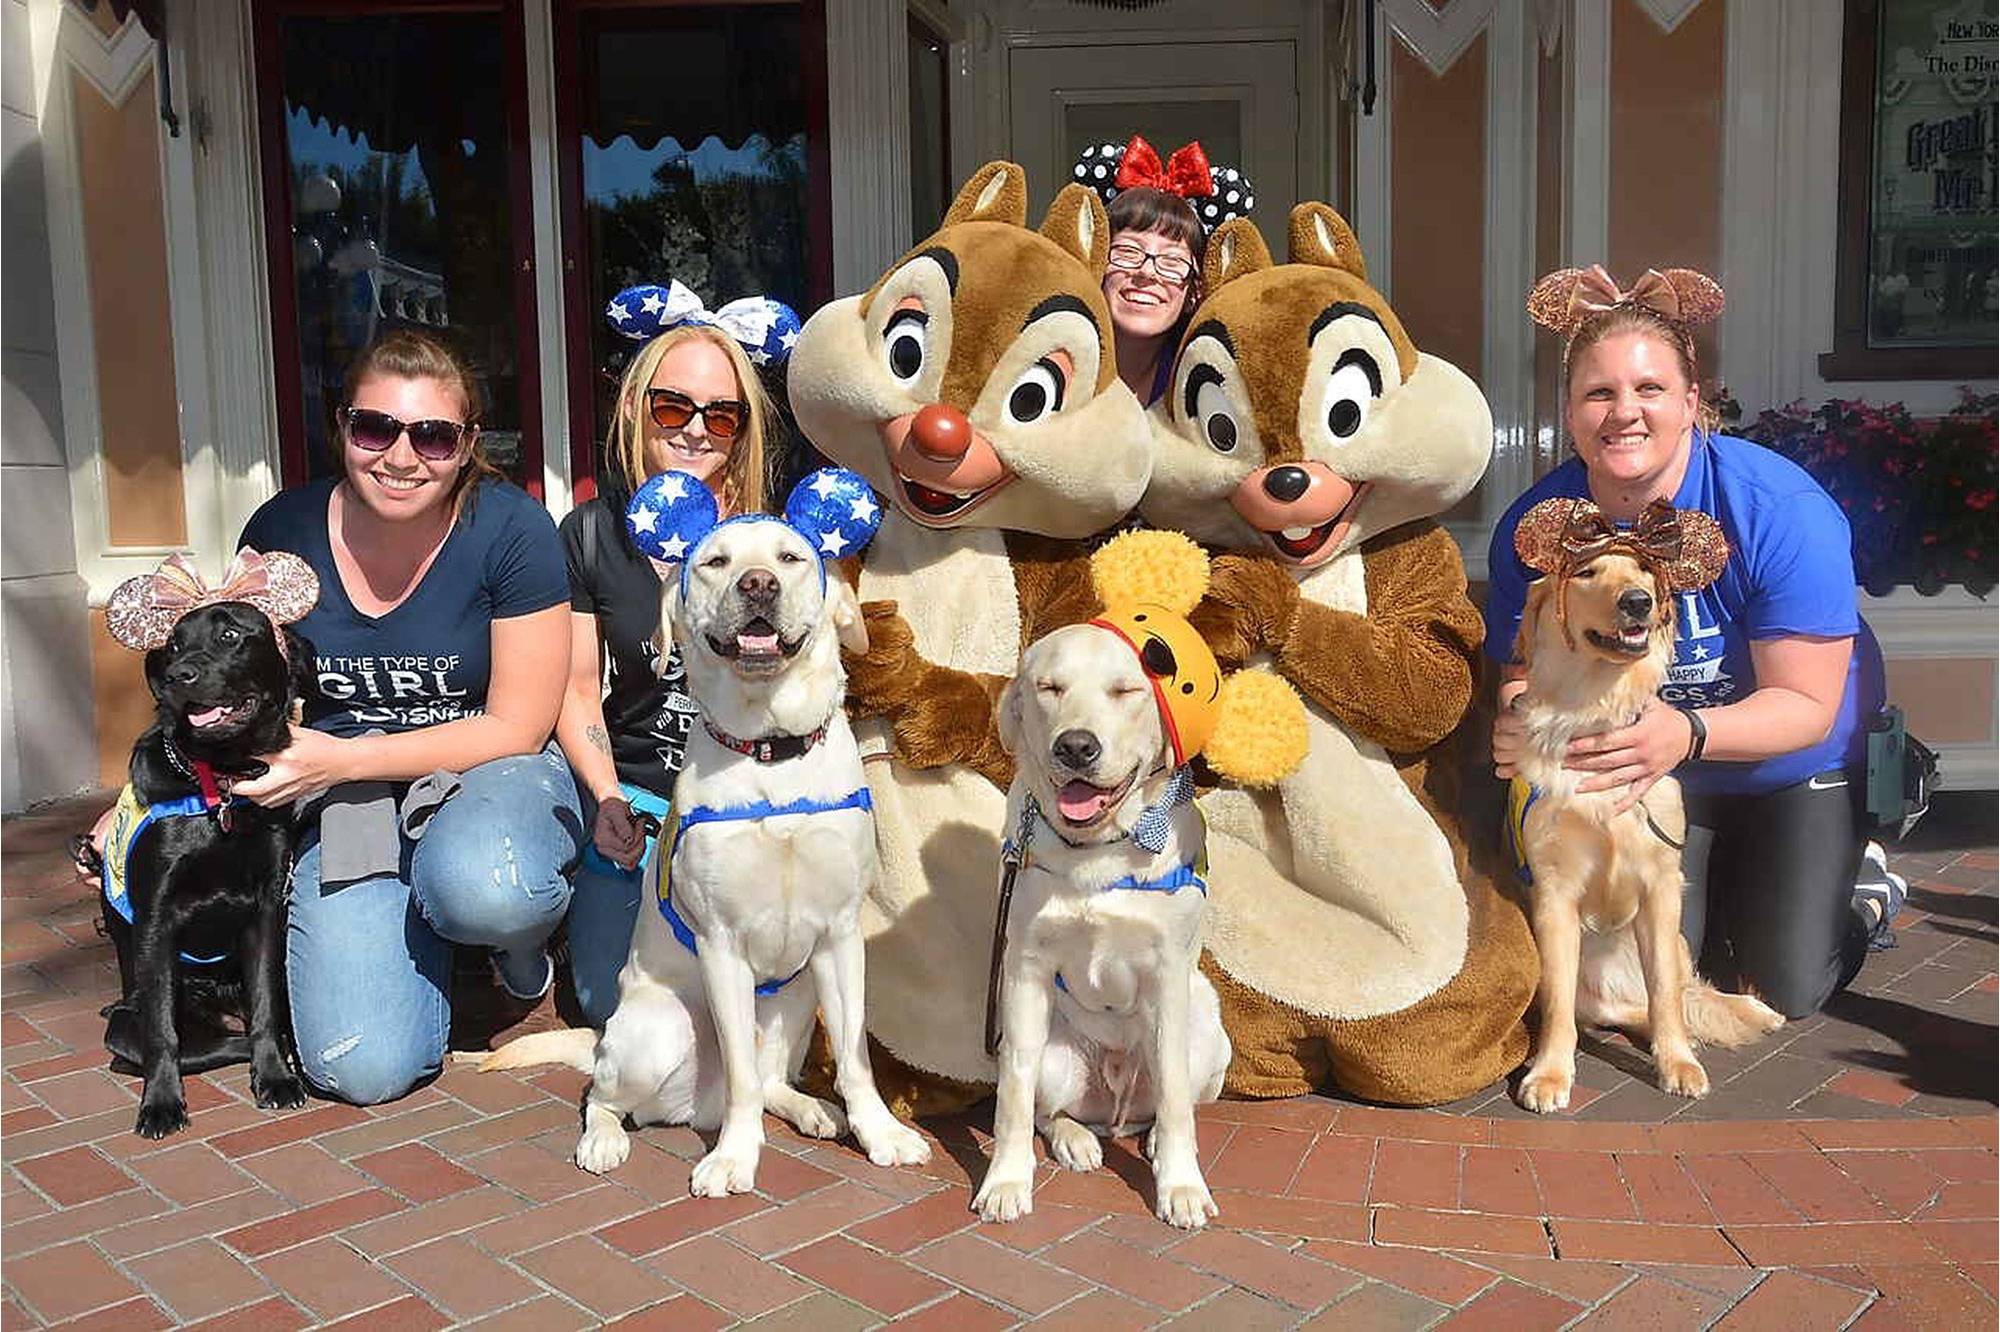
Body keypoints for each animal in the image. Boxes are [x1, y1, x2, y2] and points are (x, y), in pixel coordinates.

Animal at [96, 600, 312, 1128]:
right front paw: (160, 1104)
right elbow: (162, 1034)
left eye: (230, 635)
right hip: (125, 1025)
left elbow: (265, 1005)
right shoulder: (156, 919)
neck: (224, 782)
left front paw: (275, 1079)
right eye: (174, 644)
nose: (178, 675)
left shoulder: (265, 911)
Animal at [484, 470, 928, 1192]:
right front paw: (735, 1157)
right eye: (716, 562)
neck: (772, 752)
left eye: (789, 557)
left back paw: (813, 1110)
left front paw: (880, 1133)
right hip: (656, 1030)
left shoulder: (840, 936)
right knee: (607, 1097)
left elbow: (855, 1055)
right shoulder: (723, 943)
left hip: (800, 997)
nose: (758, 586)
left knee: (772, 1077)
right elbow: (744, 1078)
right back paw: (605, 1140)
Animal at [972, 624, 1232, 1224]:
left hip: (1207, 1027)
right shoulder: (1024, 970)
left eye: (1125, 690)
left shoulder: (1167, 972)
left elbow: (1176, 1099)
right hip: (1054, 1053)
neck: (1096, 852)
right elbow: (1012, 1098)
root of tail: (1113, 1107)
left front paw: (1181, 1187)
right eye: (1049, 687)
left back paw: (1154, 1141)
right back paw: (1077, 1140)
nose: (1075, 746)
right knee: (1051, 1109)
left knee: (1170, 1101)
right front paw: (1005, 1181)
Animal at [1504, 492, 1784, 1104]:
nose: (1639, 601)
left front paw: (1677, 1063)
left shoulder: (1661, 886)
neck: (1594, 710)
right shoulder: (1553, 894)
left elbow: (1667, 997)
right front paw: (1549, 1072)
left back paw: (1743, 1012)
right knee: (1620, 1011)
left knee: (1679, 995)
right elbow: (1557, 1006)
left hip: (1677, 937)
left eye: (1643, 571)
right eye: (1587, 572)